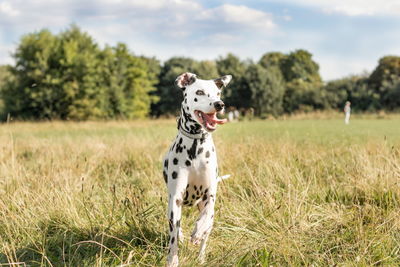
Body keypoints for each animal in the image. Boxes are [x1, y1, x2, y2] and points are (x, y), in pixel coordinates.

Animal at [162, 73, 231, 267]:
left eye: (217, 93)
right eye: (199, 92)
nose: (219, 104)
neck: (195, 146)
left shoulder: (210, 194)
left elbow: (205, 216)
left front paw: (198, 230)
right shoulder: (176, 197)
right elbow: (173, 238)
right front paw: (173, 260)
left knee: (206, 233)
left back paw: (201, 255)